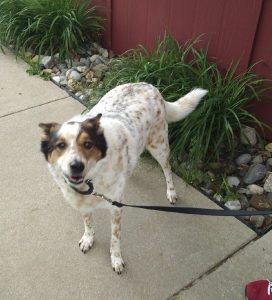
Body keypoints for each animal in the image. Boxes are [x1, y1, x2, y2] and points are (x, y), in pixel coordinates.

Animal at [38, 82, 206, 274]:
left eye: (88, 144)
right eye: (60, 145)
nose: (76, 166)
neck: (91, 181)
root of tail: (150, 86)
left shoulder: (116, 208)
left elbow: (115, 238)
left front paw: (116, 259)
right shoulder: (82, 204)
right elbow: (88, 223)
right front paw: (88, 238)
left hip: (159, 146)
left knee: (167, 169)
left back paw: (171, 191)